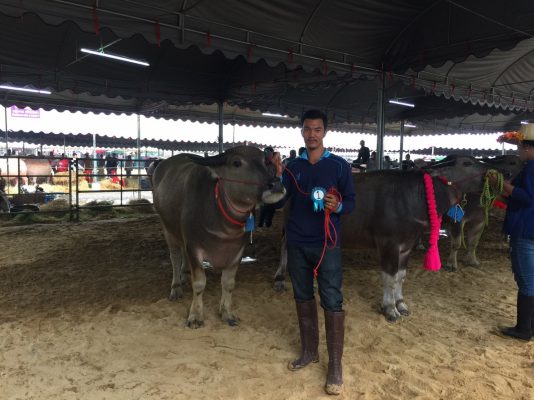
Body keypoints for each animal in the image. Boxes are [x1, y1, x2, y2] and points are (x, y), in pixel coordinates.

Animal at [150, 146, 285, 328]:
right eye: (237, 163)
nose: (276, 184)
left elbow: (228, 283)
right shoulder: (193, 246)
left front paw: (227, 313)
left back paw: (185, 274)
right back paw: (176, 287)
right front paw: (195, 316)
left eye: (266, 161)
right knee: (175, 257)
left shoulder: (237, 250)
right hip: (167, 228)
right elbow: (199, 283)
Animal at [275, 156, 498, 322]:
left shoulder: (406, 246)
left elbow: (400, 276)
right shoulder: (388, 244)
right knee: (285, 246)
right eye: (467, 162)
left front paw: (401, 304)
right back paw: (280, 278)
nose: (492, 171)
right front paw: (390, 309)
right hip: (291, 225)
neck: (415, 197)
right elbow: (389, 278)